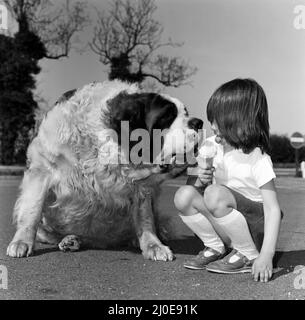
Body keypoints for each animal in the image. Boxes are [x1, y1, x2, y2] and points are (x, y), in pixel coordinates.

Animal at [6, 80, 202, 260]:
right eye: (167, 117)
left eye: (186, 113)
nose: (198, 122)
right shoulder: (43, 168)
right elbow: (32, 209)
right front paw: (21, 242)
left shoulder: (141, 187)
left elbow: (145, 216)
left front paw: (153, 245)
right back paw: (69, 239)